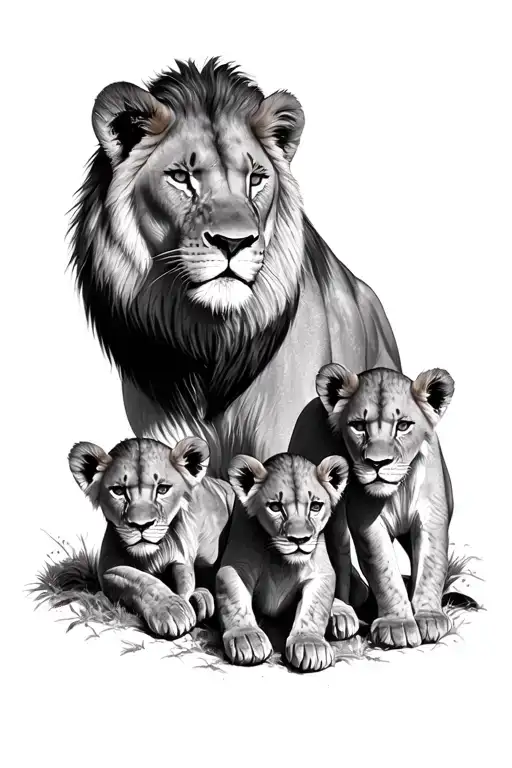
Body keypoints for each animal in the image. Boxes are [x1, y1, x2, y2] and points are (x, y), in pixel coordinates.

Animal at [68, 436, 234, 639]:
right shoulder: (108, 567)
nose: (141, 525)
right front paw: (171, 609)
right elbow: (141, 580)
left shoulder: (182, 558)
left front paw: (185, 605)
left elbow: (185, 581)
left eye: (162, 489)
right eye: (118, 491)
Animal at [216, 452, 357, 672]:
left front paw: (309, 644)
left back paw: (341, 614)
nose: (299, 539)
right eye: (275, 507)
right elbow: (234, 600)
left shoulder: (321, 572)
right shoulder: (235, 566)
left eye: (315, 506)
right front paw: (246, 637)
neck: (282, 562)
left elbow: (314, 608)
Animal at [290, 364, 455, 648]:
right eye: (358, 426)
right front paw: (397, 624)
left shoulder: (431, 516)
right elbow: (383, 571)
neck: (399, 488)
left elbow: (431, 564)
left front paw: (429, 616)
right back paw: (339, 614)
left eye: (403, 426)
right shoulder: (367, 524)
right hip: (329, 521)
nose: (377, 463)